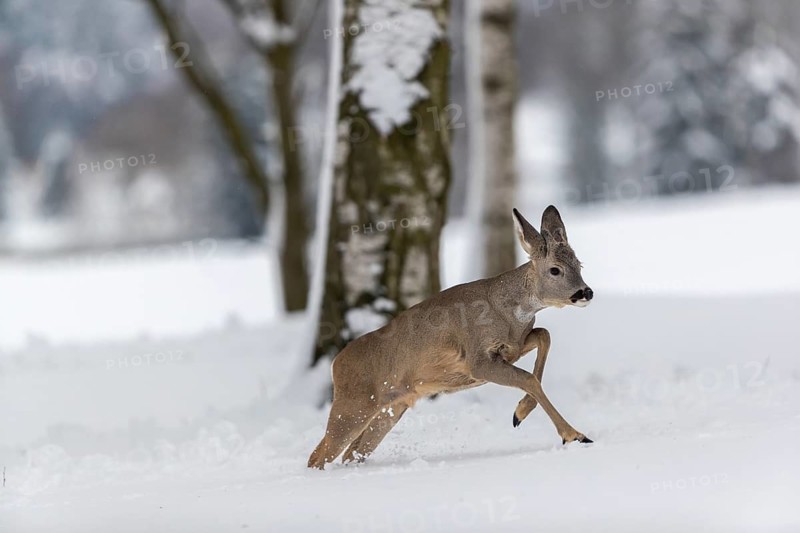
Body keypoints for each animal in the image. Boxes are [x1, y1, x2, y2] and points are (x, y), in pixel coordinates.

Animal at [308, 206, 594, 469]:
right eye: (555, 270)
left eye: (579, 264)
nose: (586, 292)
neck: (507, 311)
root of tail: (335, 363)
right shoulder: (477, 359)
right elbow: (528, 379)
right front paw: (574, 435)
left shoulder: (514, 345)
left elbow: (544, 336)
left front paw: (520, 413)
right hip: (353, 405)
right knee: (319, 454)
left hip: (389, 410)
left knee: (350, 454)